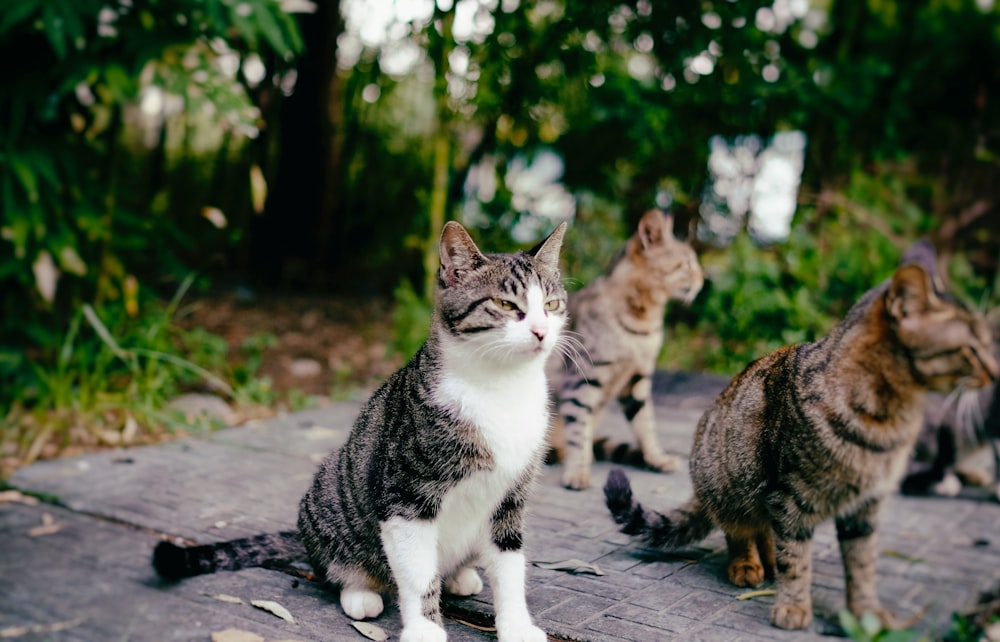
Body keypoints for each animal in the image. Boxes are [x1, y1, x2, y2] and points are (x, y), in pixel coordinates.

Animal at [152, 221, 568, 640]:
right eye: (505, 305)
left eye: (551, 305)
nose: (540, 331)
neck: (502, 390)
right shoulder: (405, 495)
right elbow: (417, 575)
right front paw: (425, 629)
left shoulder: (511, 498)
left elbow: (510, 567)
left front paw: (517, 626)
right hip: (327, 493)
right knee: (338, 567)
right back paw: (360, 593)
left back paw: (459, 576)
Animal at [548, 208, 704, 488]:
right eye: (686, 264)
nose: (702, 279)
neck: (644, 320)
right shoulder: (583, 378)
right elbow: (578, 428)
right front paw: (577, 471)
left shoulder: (637, 379)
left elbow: (646, 424)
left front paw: (657, 458)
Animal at [604, 241, 996, 632]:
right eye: (972, 349)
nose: (995, 372)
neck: (889, 419)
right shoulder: (790, 499)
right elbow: (795, 560)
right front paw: (792, 606)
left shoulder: (863, 509)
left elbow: (862, 566)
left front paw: (866, 613)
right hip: (731, 484)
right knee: (739, 530)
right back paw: (747, 565)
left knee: (763, 531)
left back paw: (766, 561)